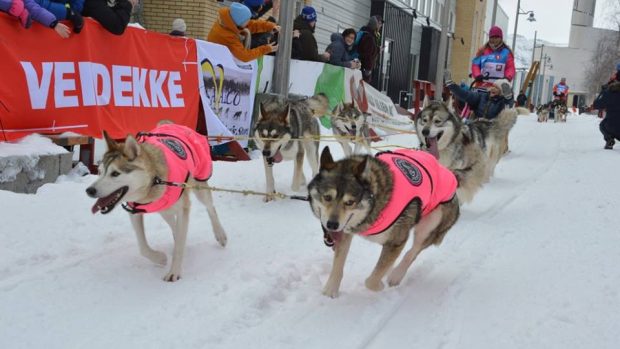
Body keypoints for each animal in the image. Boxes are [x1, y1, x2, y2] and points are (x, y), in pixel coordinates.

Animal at [84, 122, 225, 280]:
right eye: (100, 172)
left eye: (115, 173)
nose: (89, 190)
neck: (152, 182)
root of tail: (168, 123)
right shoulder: (135, 212)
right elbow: (143, 247)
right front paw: (160, 258)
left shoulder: (183, 208)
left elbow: (178, 246)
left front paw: (174, 272)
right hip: (165, 210)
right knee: (175, 225)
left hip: (200, 187)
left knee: (210, 208)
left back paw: (220, 234)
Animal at [310, 146, 460, 296]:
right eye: (327, 197)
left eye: (350, 202)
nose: (332, 224)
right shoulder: (345, 233)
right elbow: (338, 264)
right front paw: (330, 290)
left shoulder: (396, 241)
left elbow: (371, 281)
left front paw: (379, 285)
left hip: (431, 223)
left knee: (412, 252)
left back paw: (396, 275)